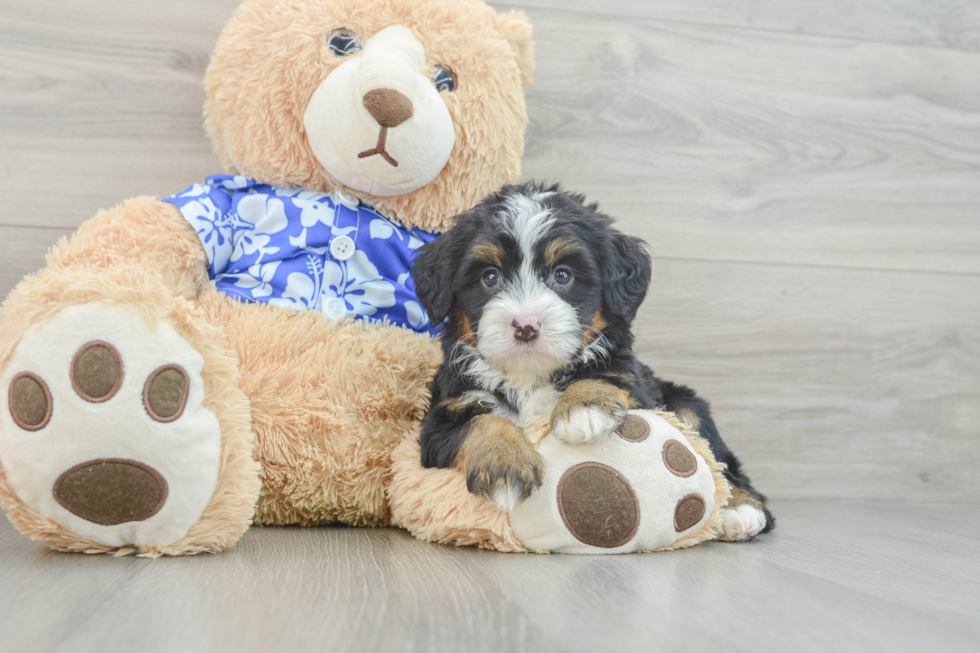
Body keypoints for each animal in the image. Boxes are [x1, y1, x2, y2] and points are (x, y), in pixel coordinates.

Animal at [412, 182, 772, 540]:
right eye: (490, 277)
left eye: (563, 275)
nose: (526, 326)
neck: (529, 376)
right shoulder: (443, 415)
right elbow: (481, 422)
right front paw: (504, 464)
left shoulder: (634, 381)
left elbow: (604, 374)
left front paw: (582, 409)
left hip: (687, 406)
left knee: (721, 462)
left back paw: (741, 510)